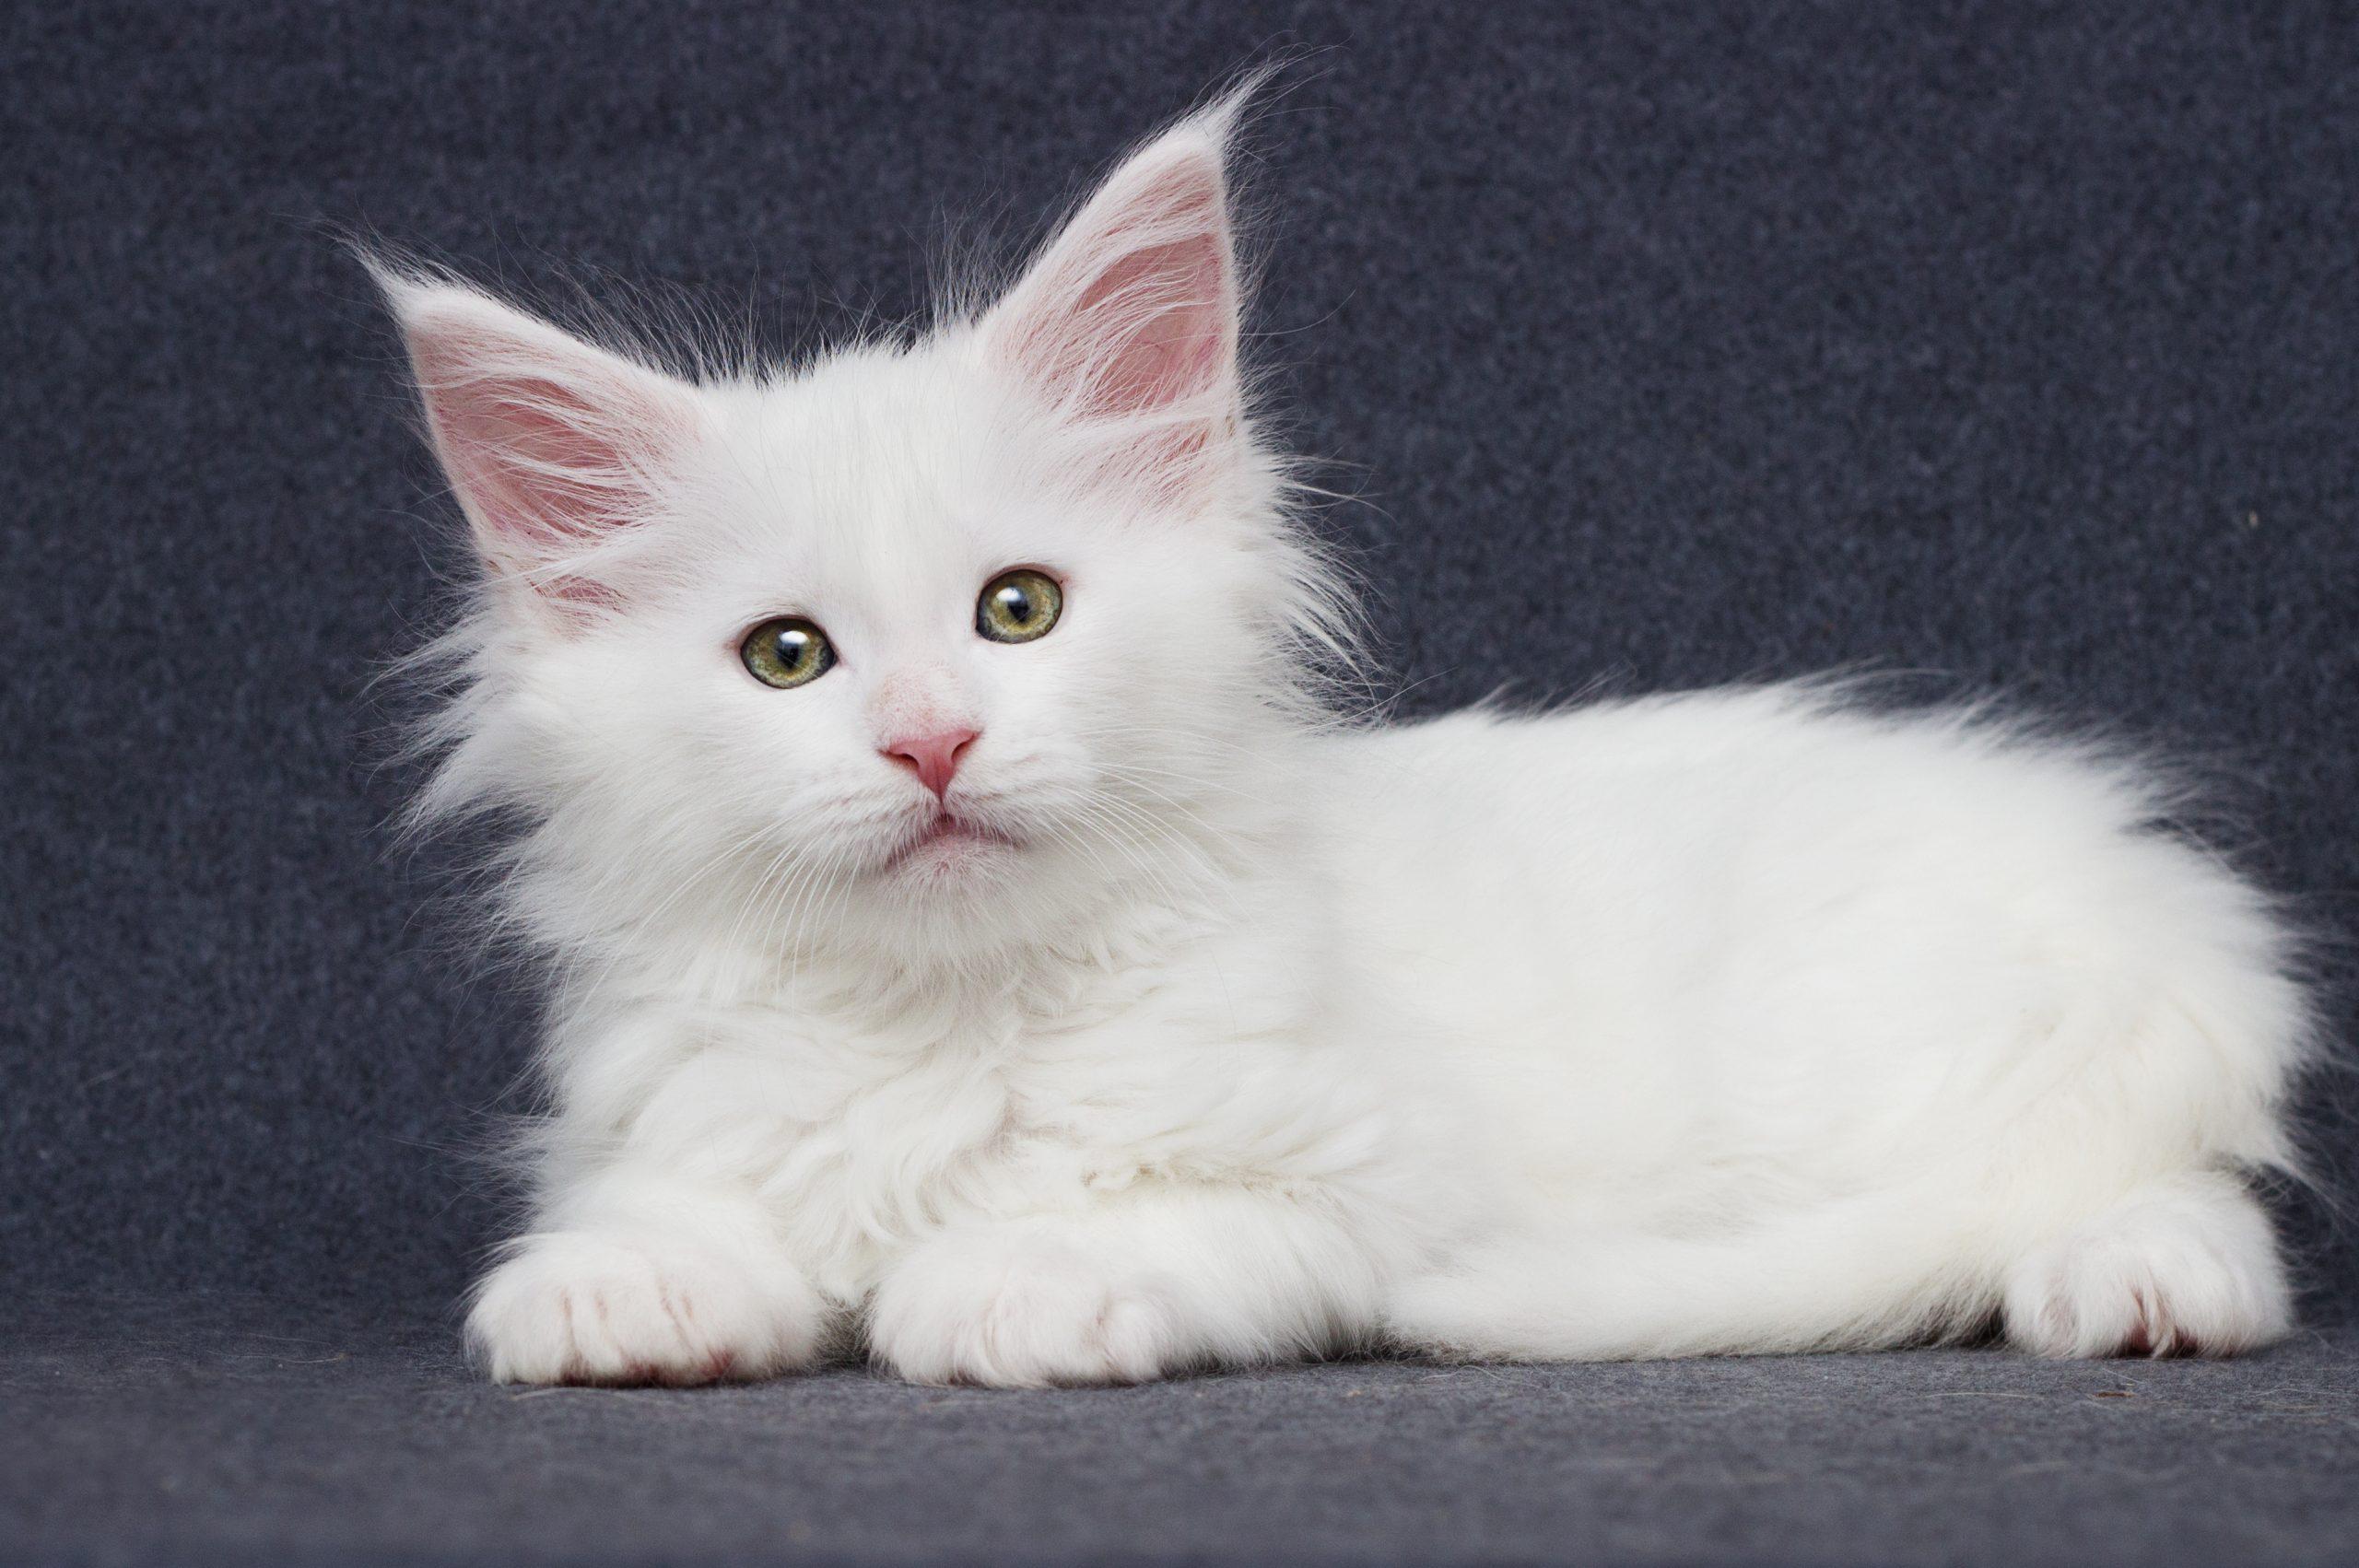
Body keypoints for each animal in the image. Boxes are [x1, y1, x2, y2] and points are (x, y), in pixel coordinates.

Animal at [377, 91, 2311, 1386]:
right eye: (788, 657)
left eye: (1020, 611)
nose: (928, 742)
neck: (958, 1019)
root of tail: (2152, 891)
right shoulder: (681, 1112)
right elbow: (672, 1209)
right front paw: (620, 1286)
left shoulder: (1366, 1187)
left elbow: (1172, 1220)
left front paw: (1012, 1271)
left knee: (2156, 1197)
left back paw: (2134, 1284)